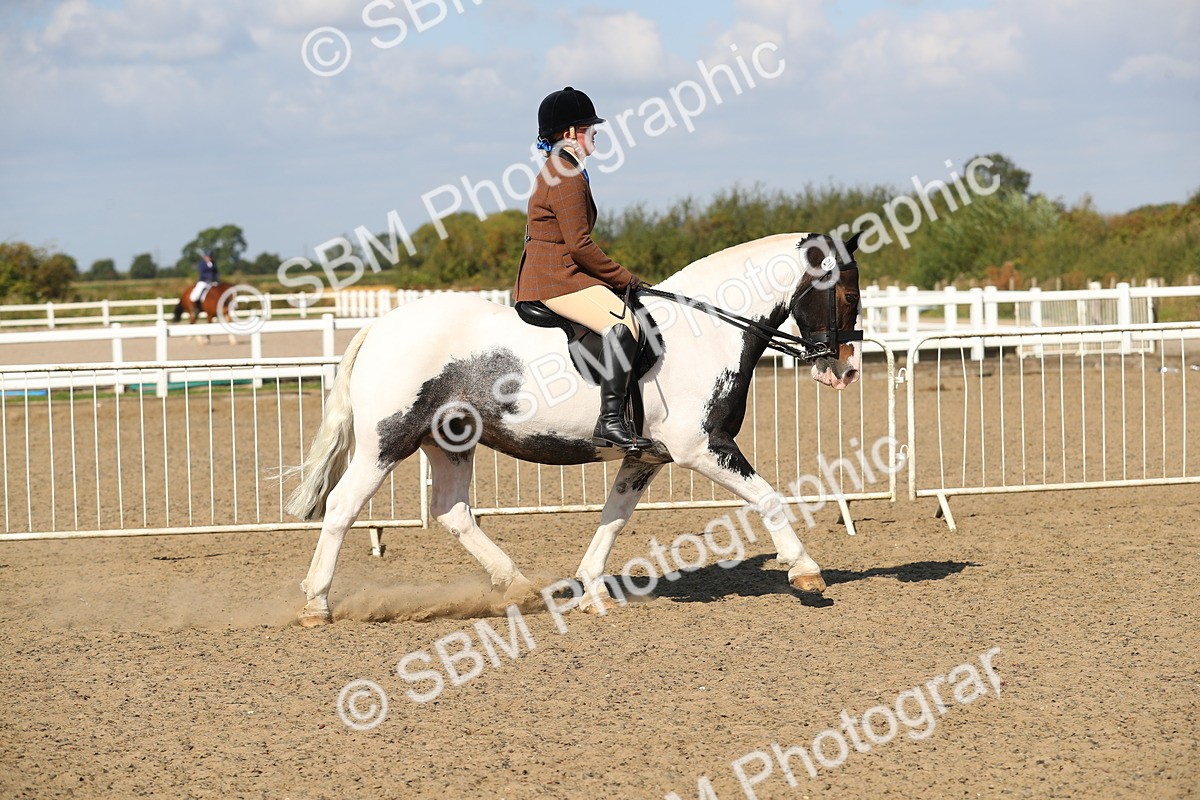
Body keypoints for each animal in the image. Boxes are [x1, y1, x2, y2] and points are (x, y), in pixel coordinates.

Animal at [287, 232, 864, 626]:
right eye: (845, 293)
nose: (845, 370)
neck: (706, 330)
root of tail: (381, 325)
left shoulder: (645, 456)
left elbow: (613, 518)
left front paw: (592, 588)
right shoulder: (702, 449)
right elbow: (768, 497)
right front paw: (804, 570)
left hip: (449, 444)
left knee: (452, 512)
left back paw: (520, 587)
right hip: (387, 442)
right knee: (342, 507)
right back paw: (316, 604)